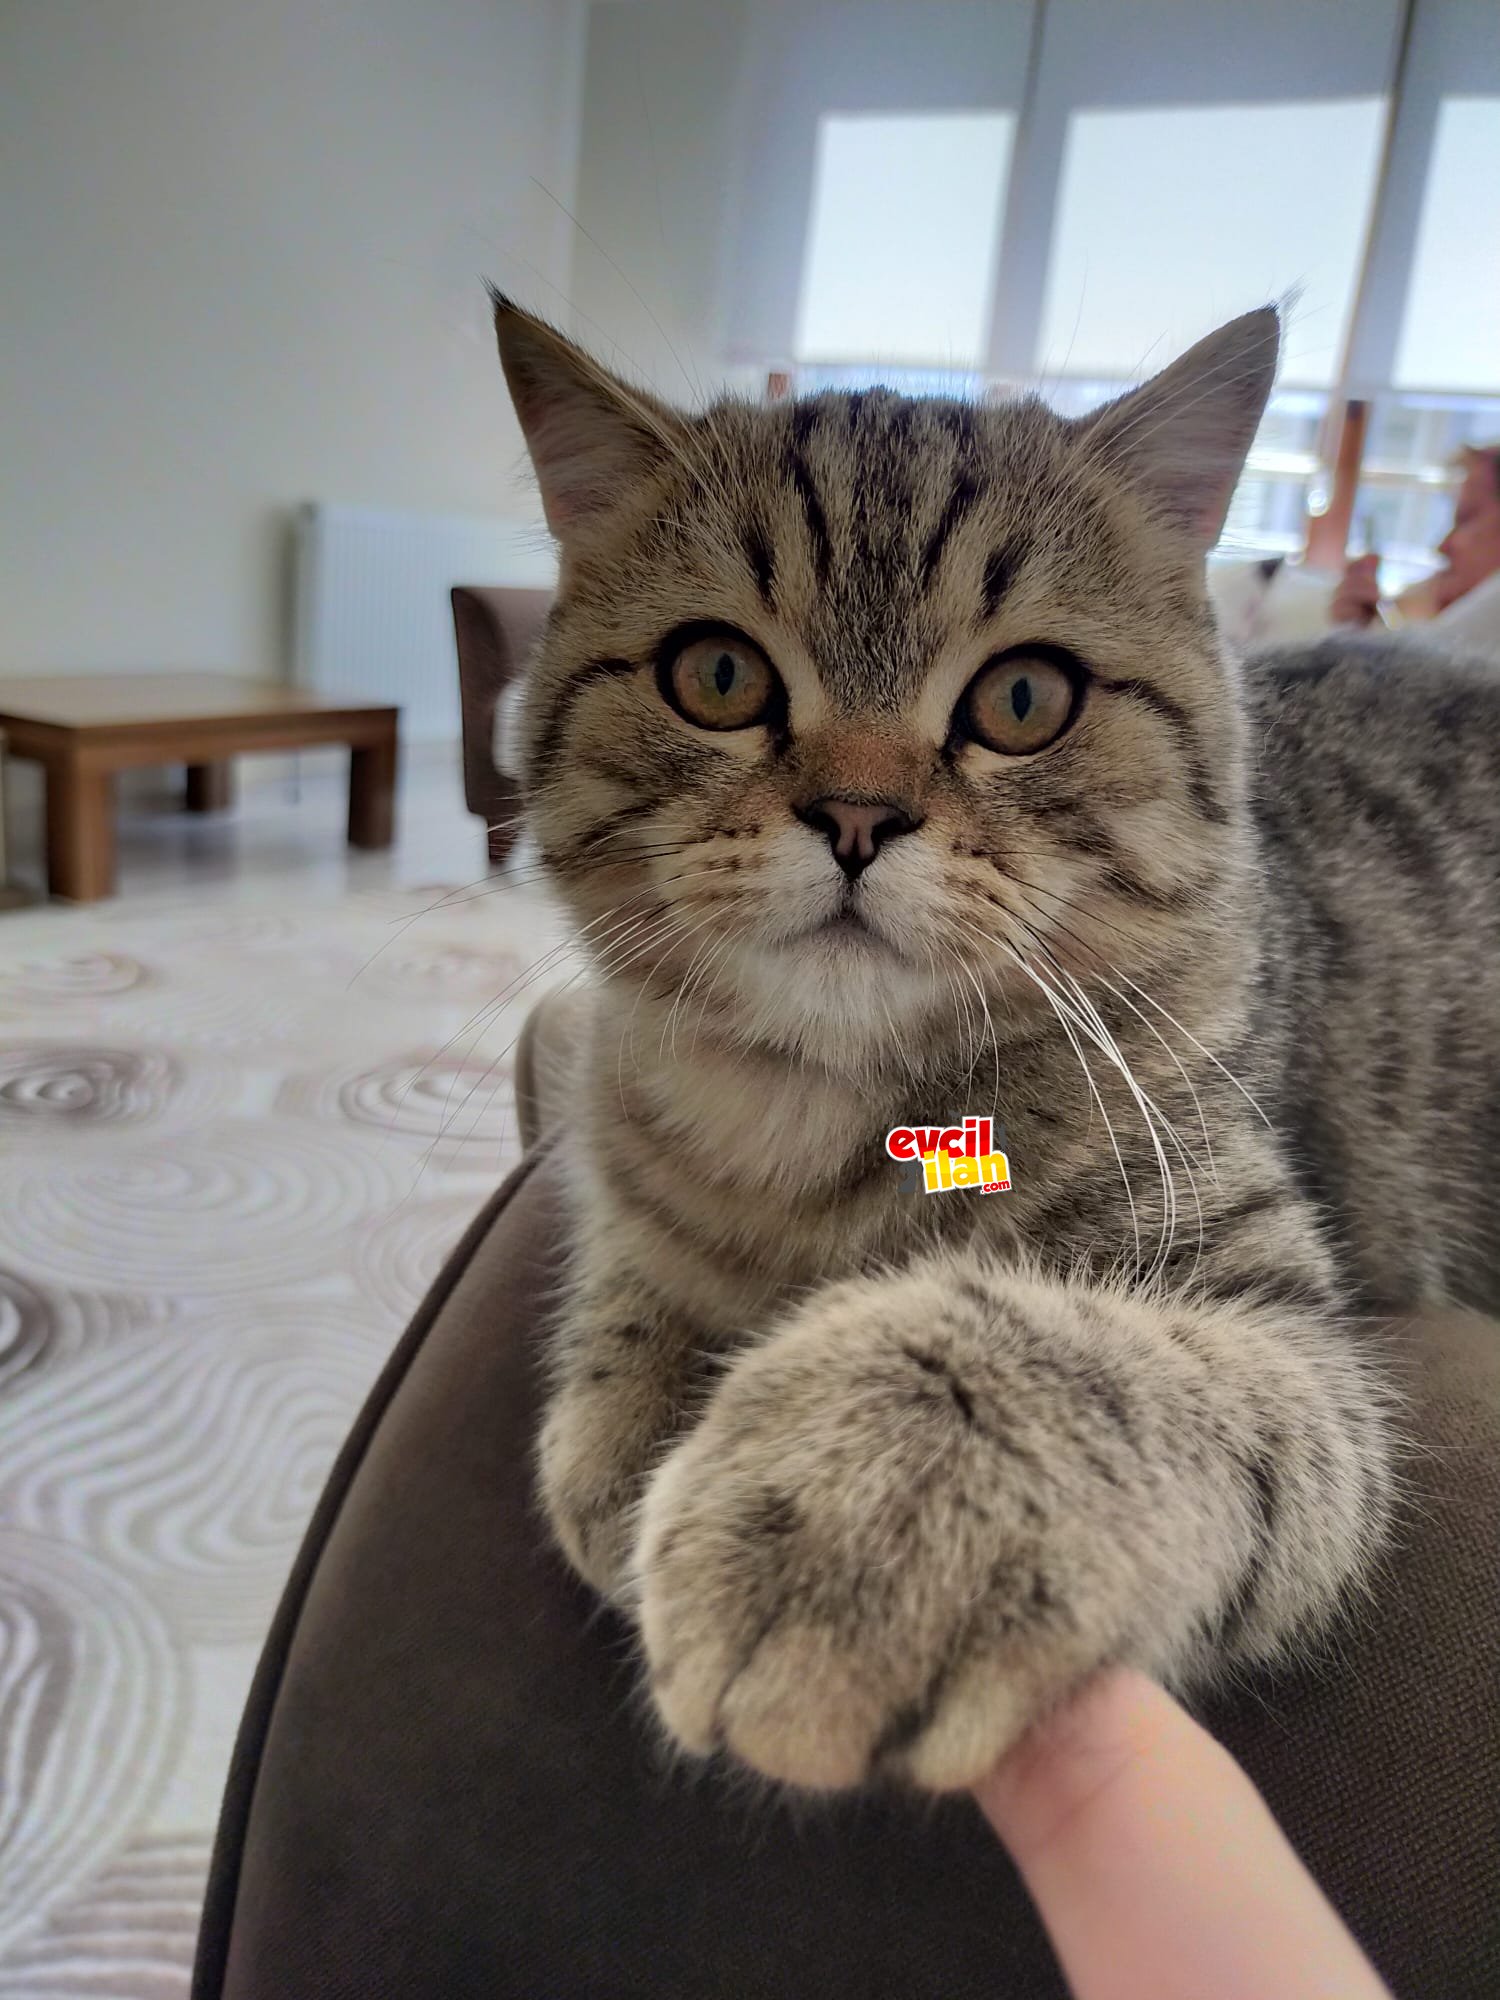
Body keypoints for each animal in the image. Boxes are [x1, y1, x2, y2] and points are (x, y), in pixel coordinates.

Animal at [494, 300, 1500, 1800]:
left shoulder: (1286, 1338)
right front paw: (625, 1425)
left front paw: (868, 1504)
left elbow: (1096, 1368)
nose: (856, 815)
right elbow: (631, 1278)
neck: (801, 1109)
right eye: (718, 675)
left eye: (1025, 699)